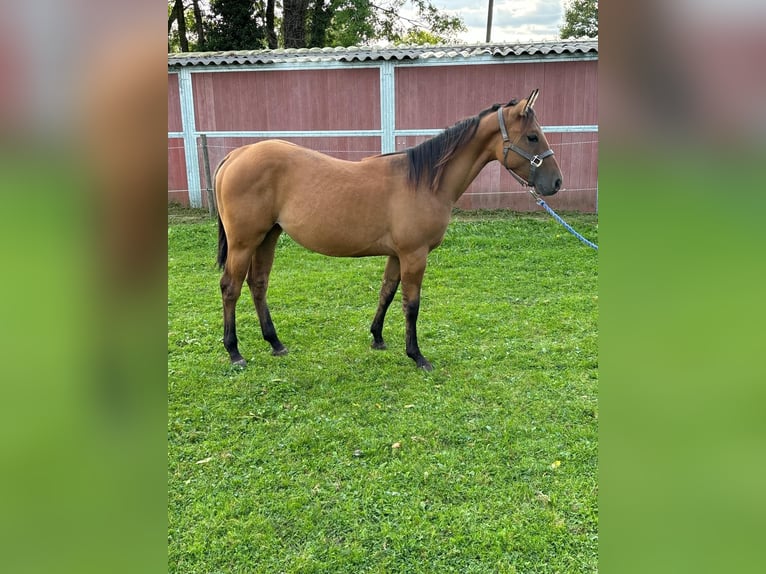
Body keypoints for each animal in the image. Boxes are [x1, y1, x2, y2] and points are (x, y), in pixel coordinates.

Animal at [215, 89, 562, 371]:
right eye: (532, 137)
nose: (556, 182)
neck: (424, 181)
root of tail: (236, 155)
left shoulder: (398, 255)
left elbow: (387, 292)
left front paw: (377, 337)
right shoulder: (414, 255)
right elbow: (412, 305)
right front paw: (417, 355)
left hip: (268, 237)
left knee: (258, 284)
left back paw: (275, 343)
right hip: (244, 242)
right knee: (231, 287)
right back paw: (234, 352)